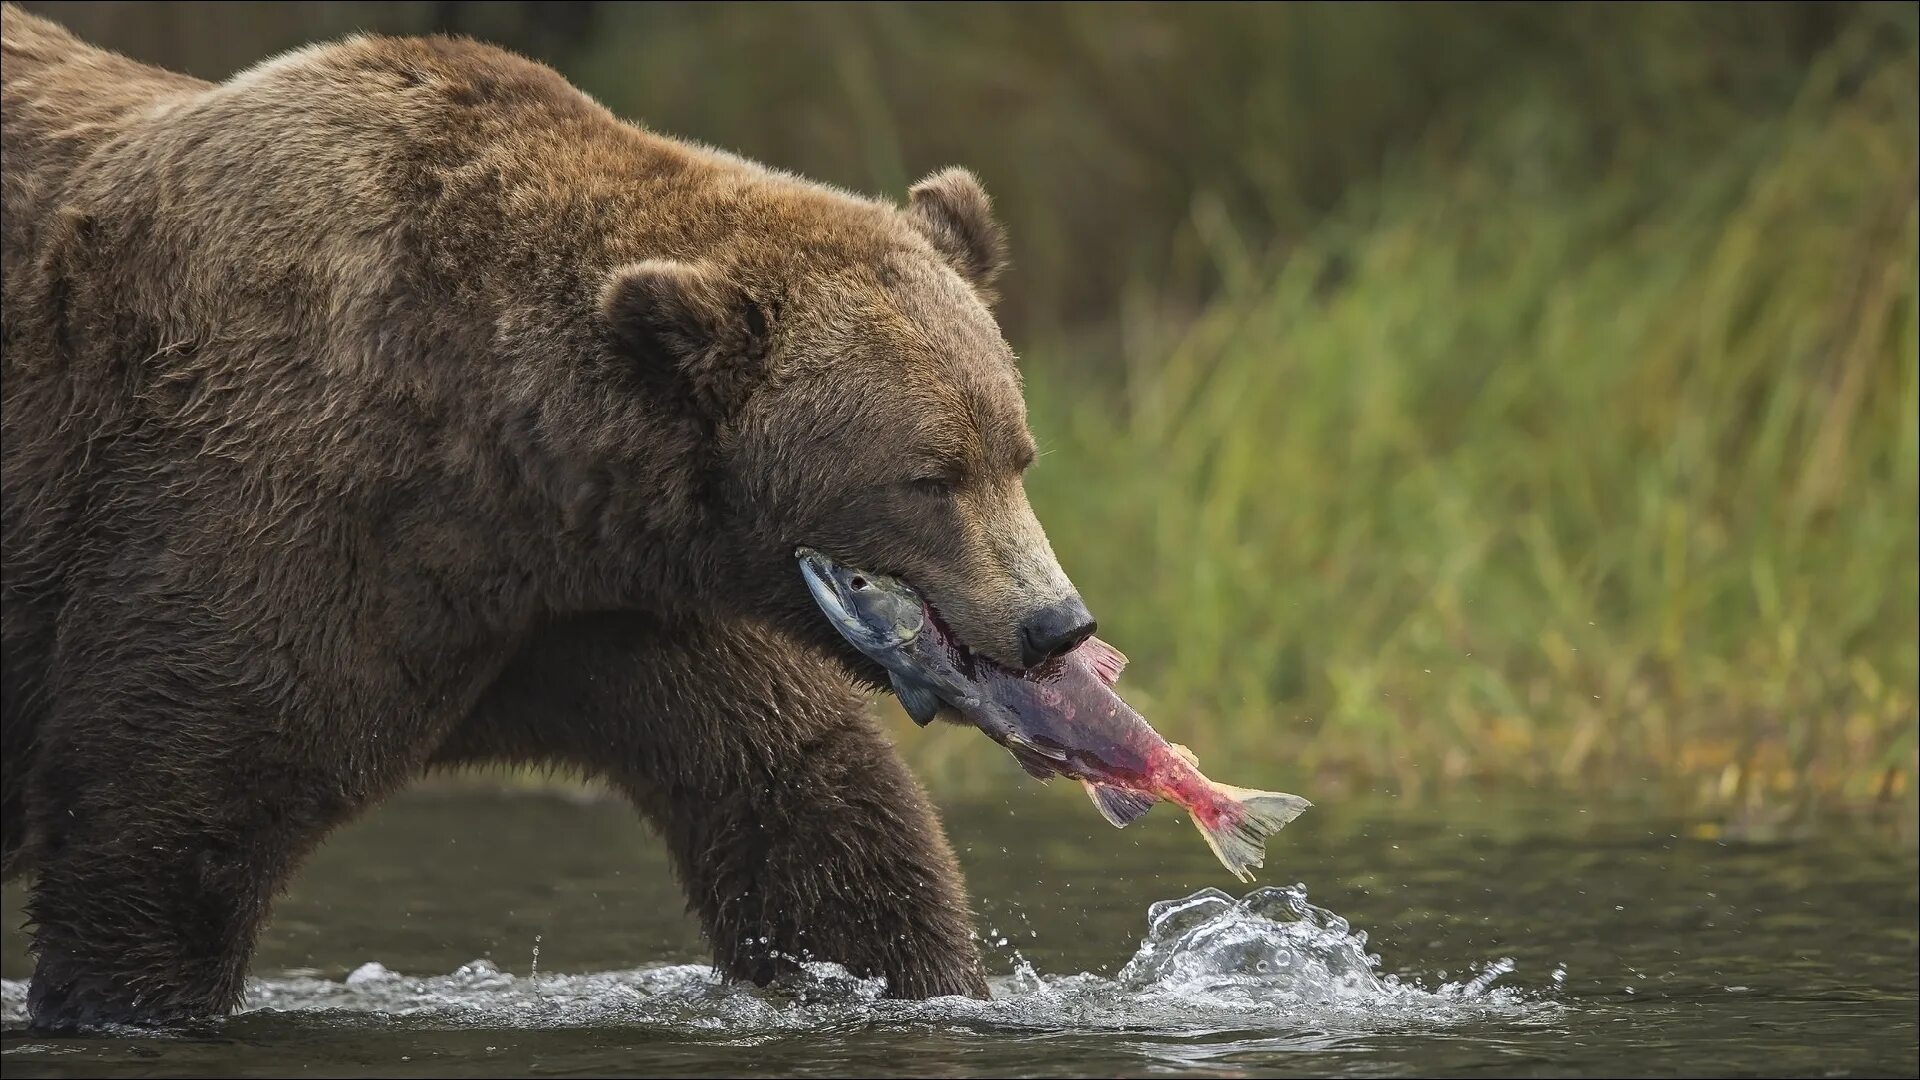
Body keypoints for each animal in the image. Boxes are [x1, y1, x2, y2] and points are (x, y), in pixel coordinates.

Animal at [0, 2, 1098, 1022]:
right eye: (928, 478)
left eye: (1015, 455)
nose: (1055, 624)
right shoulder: (261, 501)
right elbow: (168, 812)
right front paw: (128, 995)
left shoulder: (592, 611)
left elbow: (805, 792)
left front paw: (896, 974)